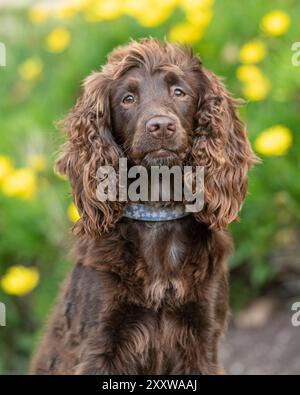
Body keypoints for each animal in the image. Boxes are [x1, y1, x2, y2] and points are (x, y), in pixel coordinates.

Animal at [30, 38, 258, 376]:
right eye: (127, 99)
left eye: (179, 92)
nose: (160, 126)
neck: (157, 214)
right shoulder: (99, 344)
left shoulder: (203, 341)